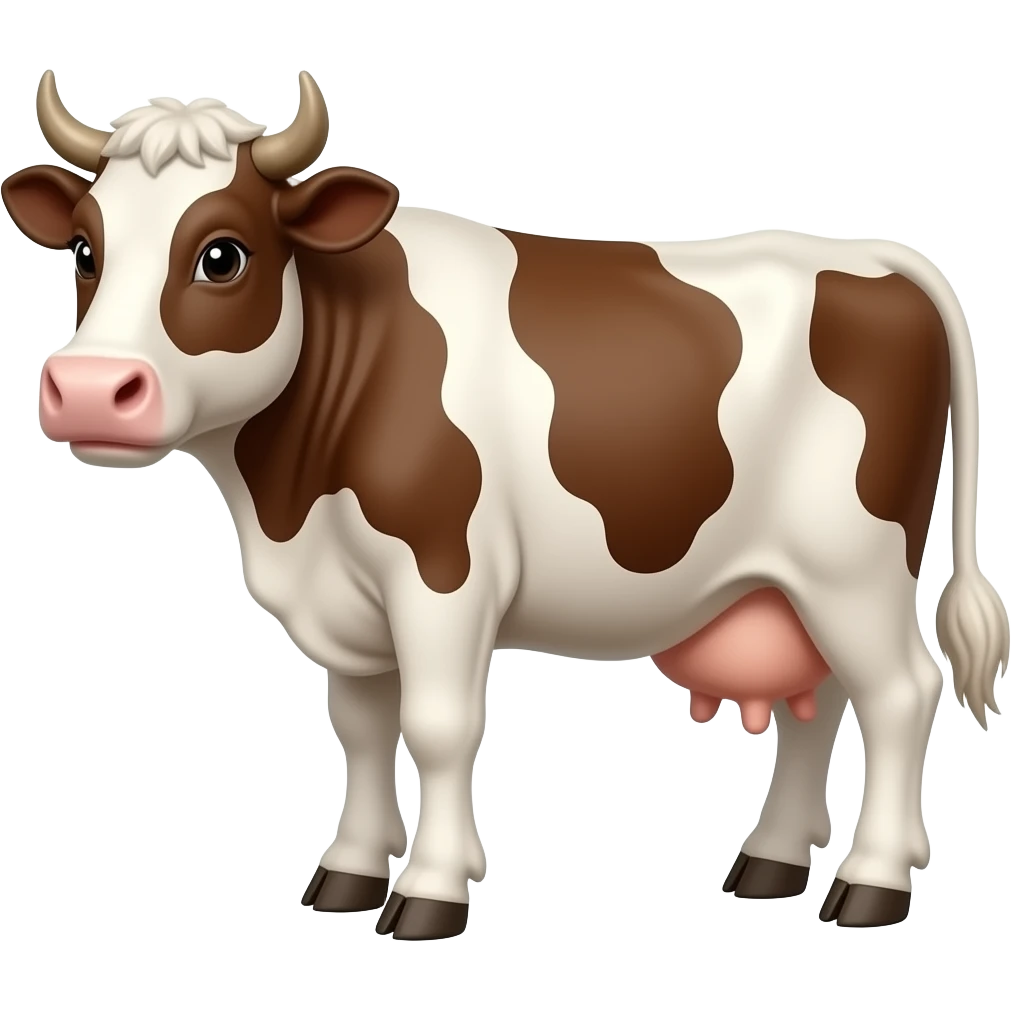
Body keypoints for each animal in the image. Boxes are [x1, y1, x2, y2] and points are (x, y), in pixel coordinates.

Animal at [6, 69, 1007, 940]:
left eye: (222, 255)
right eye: (86, 251)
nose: (89, 390)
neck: (287, 499)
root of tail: (863, 250)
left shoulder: (440, 572)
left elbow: (438, 727)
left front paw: (429, 892)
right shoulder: (349, 598)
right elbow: (360, 729)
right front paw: (349, 873)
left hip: (853, 562)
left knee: (899, 693)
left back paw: (870, 882)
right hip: (794, 579)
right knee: (823, 698)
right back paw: (769, 862)